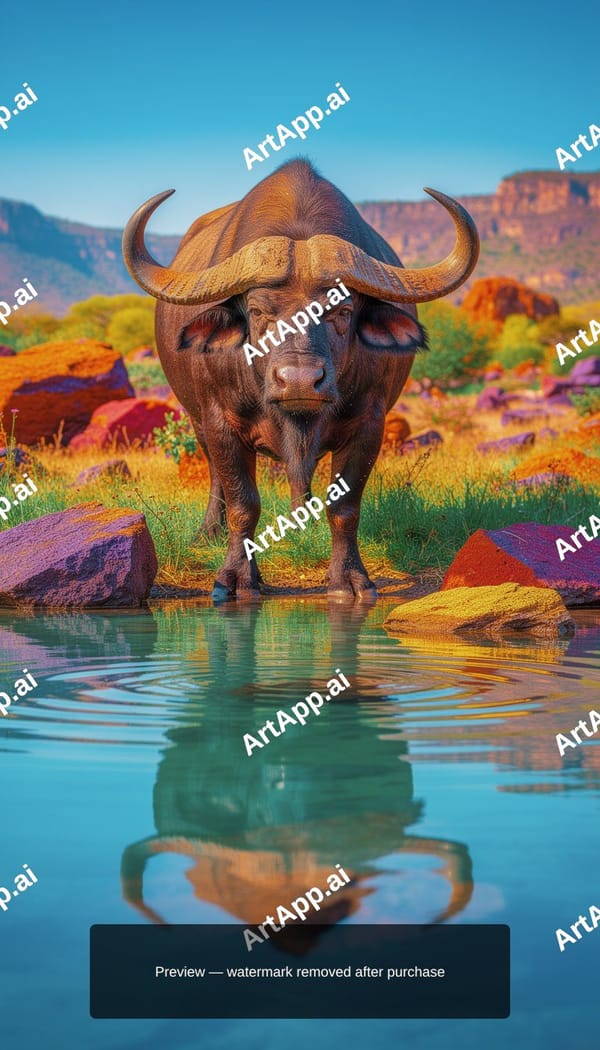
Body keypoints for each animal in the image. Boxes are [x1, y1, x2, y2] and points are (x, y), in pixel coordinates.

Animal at [123, 160, 479, 600]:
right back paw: (209, 532)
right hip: (196, 420)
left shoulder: (369, 424)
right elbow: (243, 503)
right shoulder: (220, 420)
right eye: (258, 311)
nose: (299, 381)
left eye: (342, 311)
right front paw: (236, 578)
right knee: (216, 477)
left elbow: (344, 507)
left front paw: (349, 579)